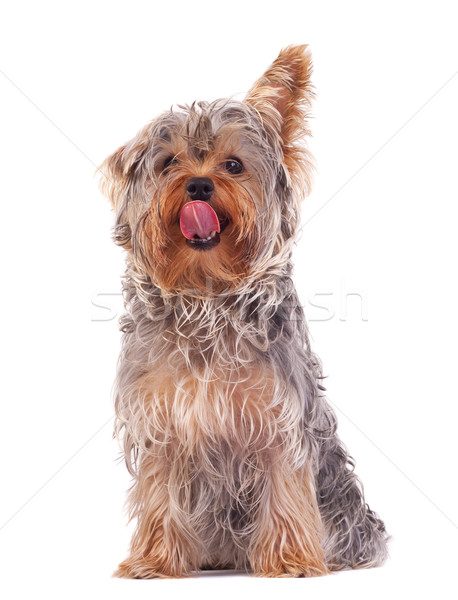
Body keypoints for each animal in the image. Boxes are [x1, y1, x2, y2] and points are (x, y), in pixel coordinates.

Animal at [98, 44, 388, 580]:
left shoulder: (279, 417)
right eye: (169, 163)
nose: (197, 185)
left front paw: (291, 561)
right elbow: (159, 493)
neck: (207, 295)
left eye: (233, 165)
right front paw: (154, 560)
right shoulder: (161, 419)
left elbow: (285, 490)